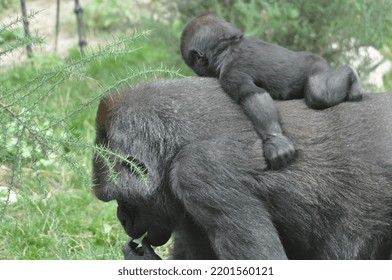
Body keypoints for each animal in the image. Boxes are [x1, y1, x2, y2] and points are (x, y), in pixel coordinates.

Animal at [182, 13, 362, 170]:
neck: (227, 46)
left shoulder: (231, 72)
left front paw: (275, 142)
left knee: (319, 95)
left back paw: (351, 74)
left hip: (317, 64)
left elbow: (251, 94)